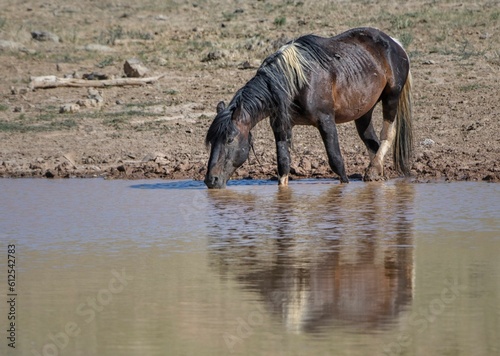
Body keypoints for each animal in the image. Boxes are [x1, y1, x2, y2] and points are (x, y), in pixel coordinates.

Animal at [205, 27, 412, 189]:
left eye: (230, 139)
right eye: (211, 140)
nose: (210, 180)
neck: (295, 81)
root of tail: (395, 43)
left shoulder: (326, 121)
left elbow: (337, 161)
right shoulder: (281, 126)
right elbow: (283, 165)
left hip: (391, 98)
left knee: (387, 135)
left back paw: (373, 170)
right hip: (363, 112)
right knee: (371, 142)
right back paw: (376, 173)